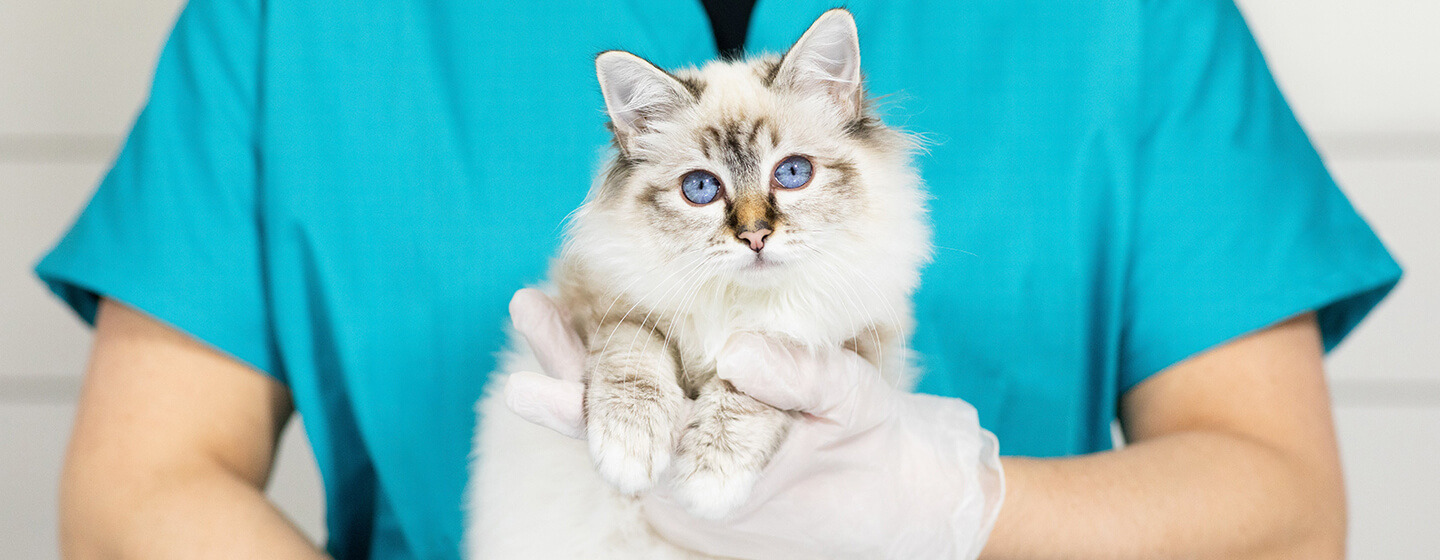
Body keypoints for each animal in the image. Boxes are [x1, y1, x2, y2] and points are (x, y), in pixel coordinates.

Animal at [466, 10, 927, 555]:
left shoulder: (831, 348)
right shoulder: (608, 305)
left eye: (793, 172)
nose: (755, 236)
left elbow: (750, 390)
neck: (737, 303)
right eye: (701, 188)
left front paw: (710, 477)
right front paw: (630, 448)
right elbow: (633, 362)